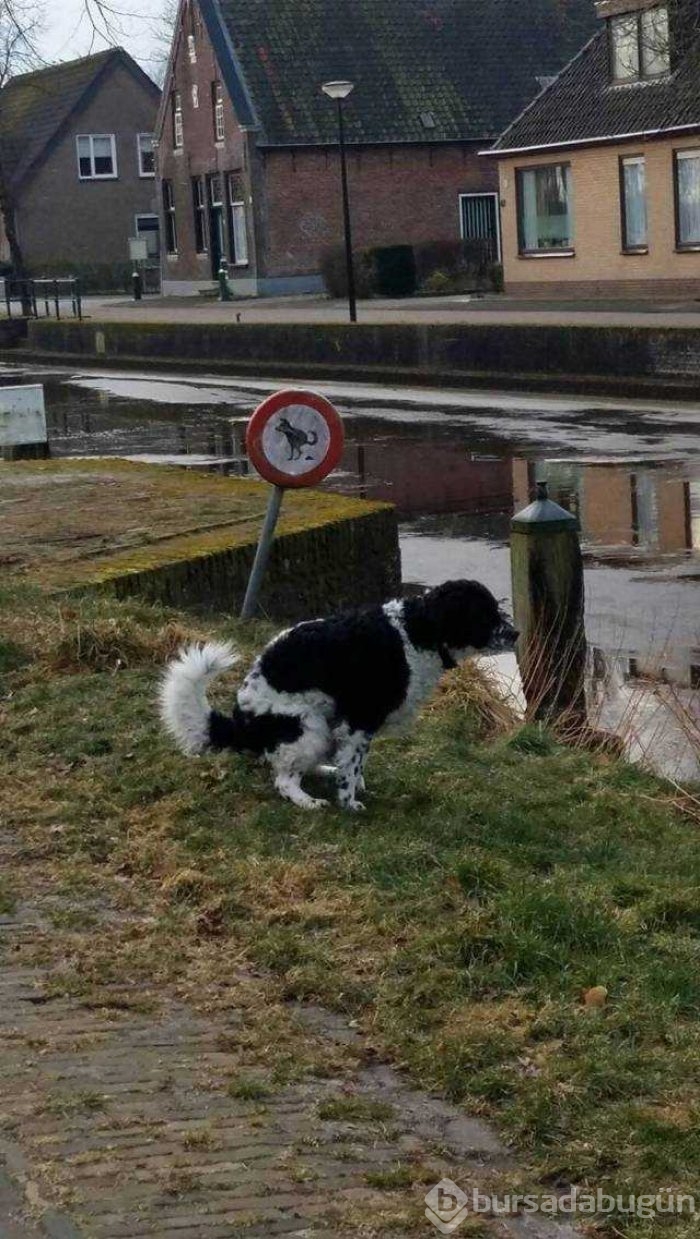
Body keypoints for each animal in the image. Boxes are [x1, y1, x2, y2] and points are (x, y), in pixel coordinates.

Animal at [161, 579, 515, 812]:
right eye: (485, 615)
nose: (516, 633)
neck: (415, 631)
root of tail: (242, 723)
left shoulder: (355, 726)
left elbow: (355, 762)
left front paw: (355, 785)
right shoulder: (360, 717)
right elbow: (352, 765)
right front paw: (349, 802)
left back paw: (324, 773)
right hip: (309, 726)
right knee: (284, 780)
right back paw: (308, 801)